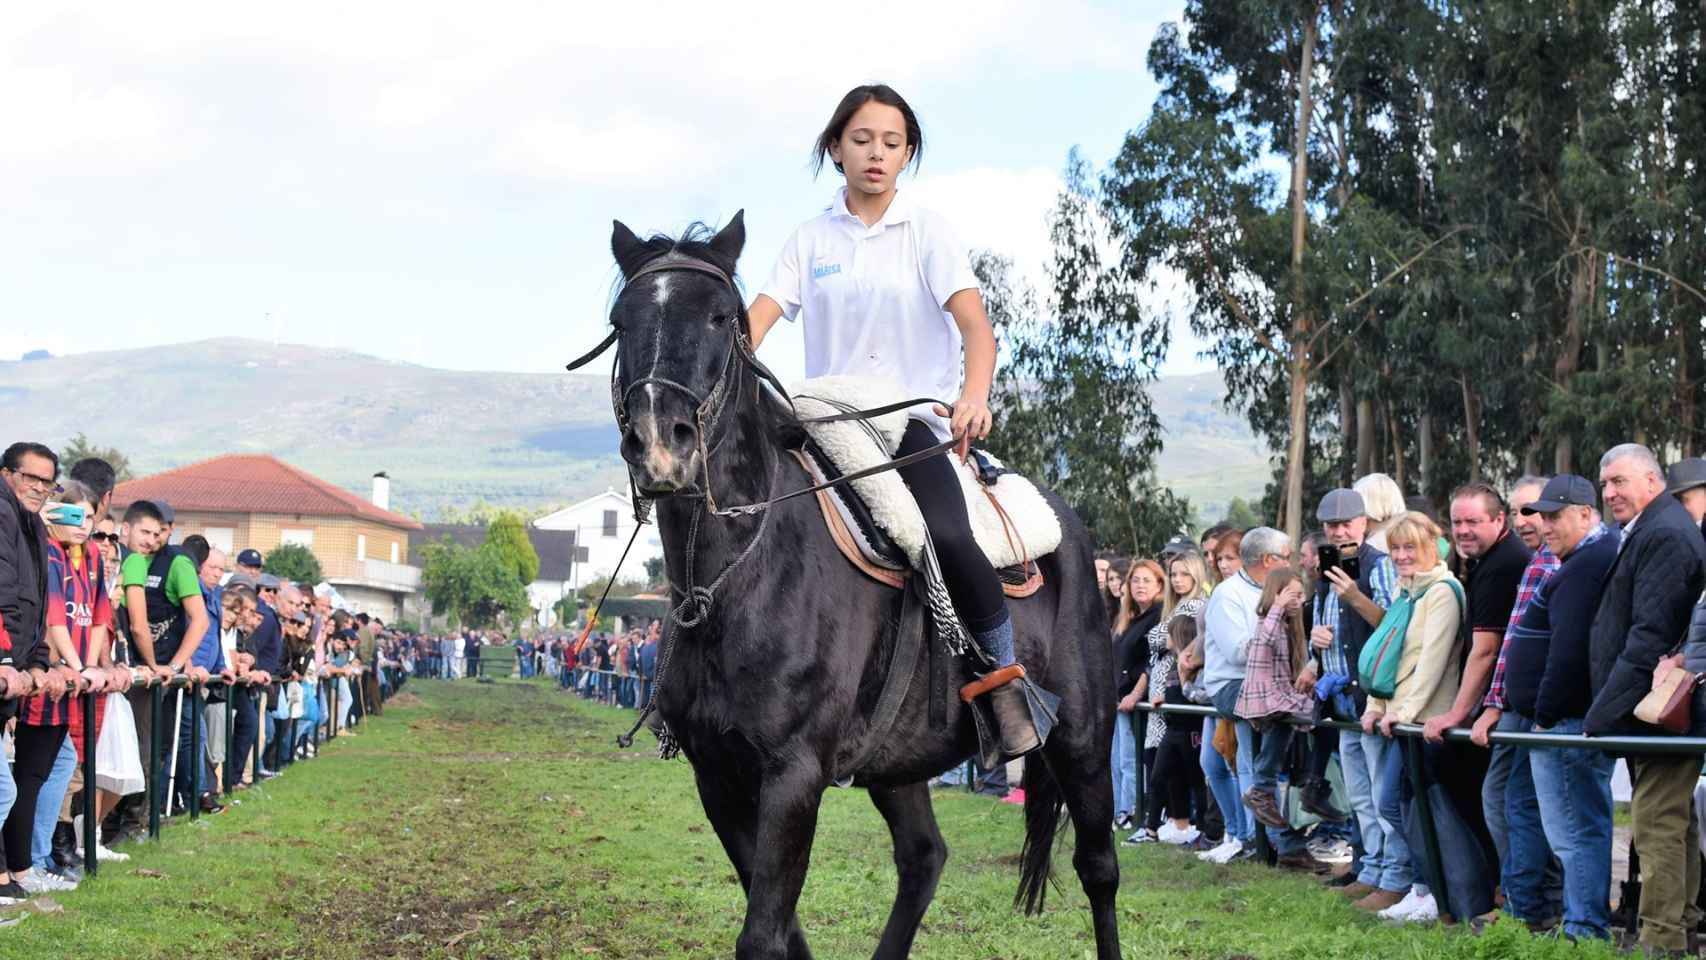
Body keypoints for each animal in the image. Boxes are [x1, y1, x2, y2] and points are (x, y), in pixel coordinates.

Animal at [600, 213, 1119, 960]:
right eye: (622, 321)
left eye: (720, 317)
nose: (658, 445)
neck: (733, 580)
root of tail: (1067, 523)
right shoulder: (718, 775)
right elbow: (783, 929)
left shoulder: (793, 773)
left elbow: (763, 935)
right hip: (900, 759)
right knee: (924, 857)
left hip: (1082, 735)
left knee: (1098, 868)